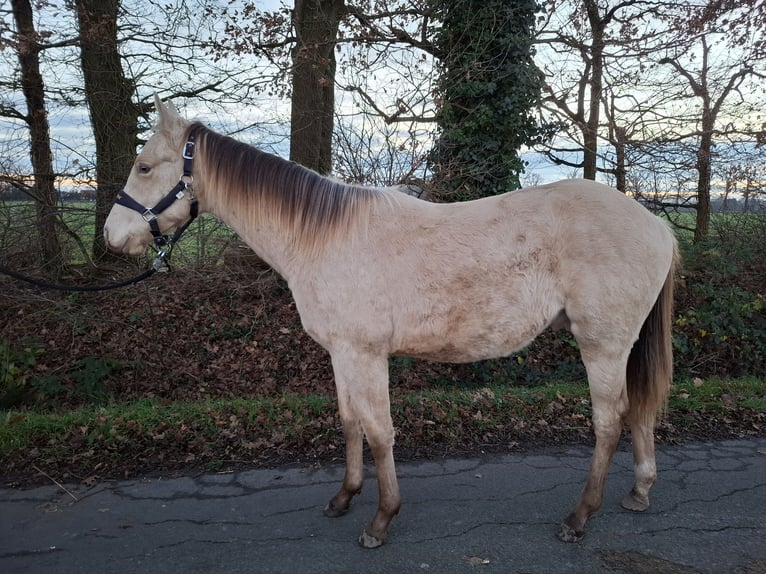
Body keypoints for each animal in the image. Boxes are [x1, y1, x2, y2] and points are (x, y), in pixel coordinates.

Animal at [103, 97, 680, 552]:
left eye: (145, 167)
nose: (112, 236)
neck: (324, 236)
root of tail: (657, 225)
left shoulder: (365, 354)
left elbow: (381, 433)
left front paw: (381, 520)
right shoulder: (341, 353)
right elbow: (349, 422)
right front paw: (345, 497)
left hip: (602, 345)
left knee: (609, 422)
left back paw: (580, 517)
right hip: (621, 345)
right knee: (638, 411)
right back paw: (640, 492)